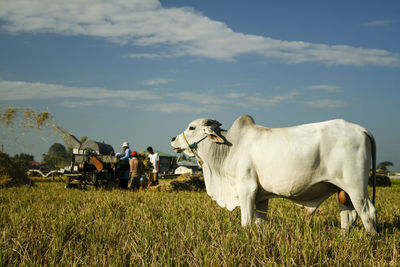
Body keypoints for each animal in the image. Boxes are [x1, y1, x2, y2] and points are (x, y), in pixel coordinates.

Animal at [172, 116, 378, 233]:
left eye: (191, 128)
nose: (173, 139)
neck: (230, 148)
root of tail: (361, 129)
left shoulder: (247, 189)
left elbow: (246, 221)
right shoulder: (261, 196)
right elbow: (259, 222)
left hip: (356, 186)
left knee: (368, 212)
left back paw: (371, 239)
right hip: (342, 189)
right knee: (348, 215)